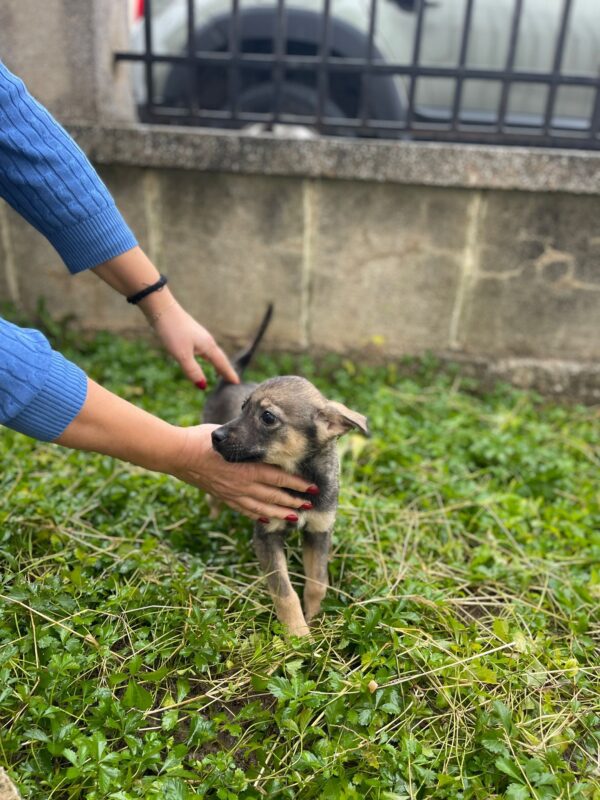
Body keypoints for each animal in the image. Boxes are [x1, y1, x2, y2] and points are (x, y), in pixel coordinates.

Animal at [202, 305, 369, 636]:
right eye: (243, 409)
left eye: (267, 417)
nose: (215, 436)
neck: (299, 475)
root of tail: (227, 382)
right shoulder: (266, 535)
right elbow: (285, 591)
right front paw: (298, 635)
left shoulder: (319, 531)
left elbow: (317, 583)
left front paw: (315, 619)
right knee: (212, 497)